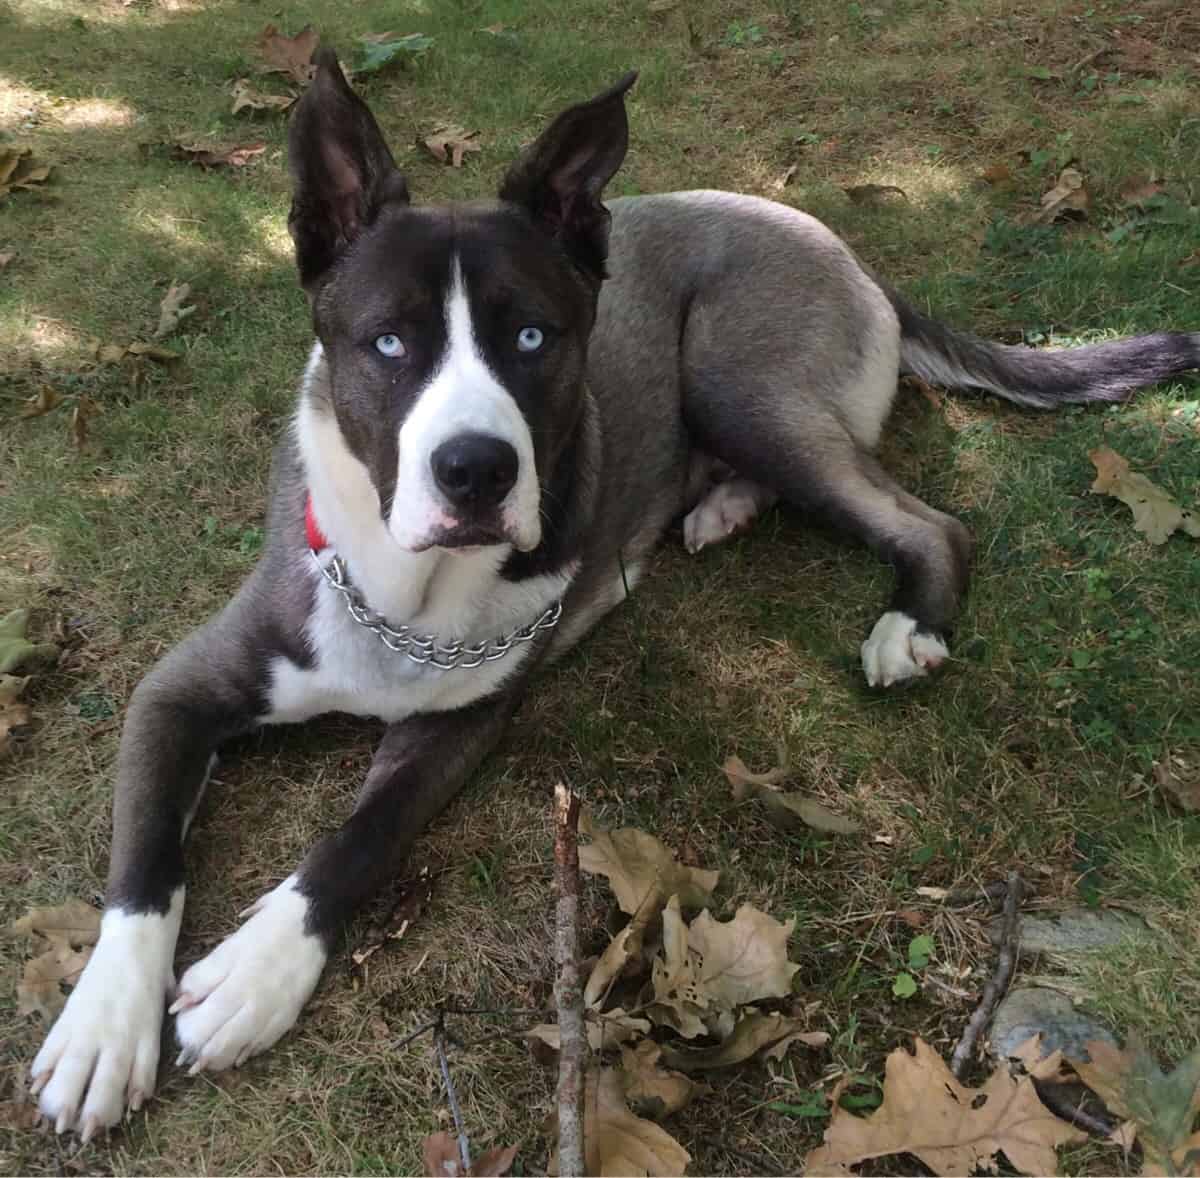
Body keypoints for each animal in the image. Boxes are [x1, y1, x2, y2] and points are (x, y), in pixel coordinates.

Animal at [30, 50, 1200, 1137]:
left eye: (533, 336)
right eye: (389, 340)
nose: (476, 471)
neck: (403, 595)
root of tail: (833, 241)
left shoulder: (464, 722)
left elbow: (358, 840)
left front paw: (258, 969)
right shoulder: (178, 690)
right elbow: (140, 868)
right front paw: (103, 1030)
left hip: (738, 375)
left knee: (930, 522)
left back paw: (907, 620)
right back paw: (721, 508)